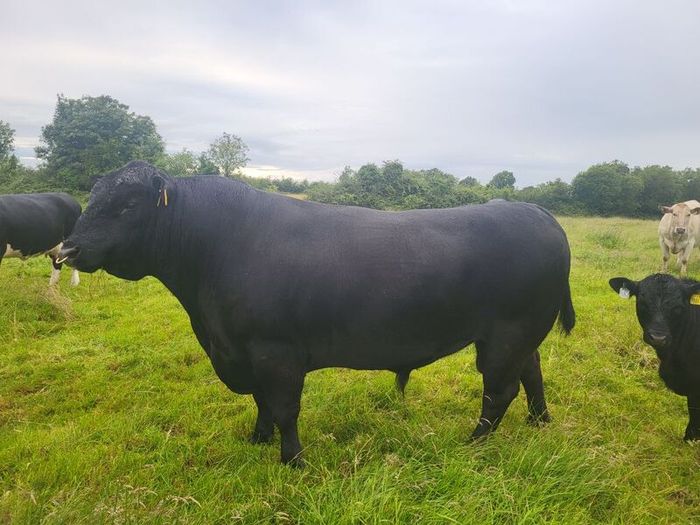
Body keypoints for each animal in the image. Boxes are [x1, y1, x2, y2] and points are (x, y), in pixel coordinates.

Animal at [58, 160, 575, 466]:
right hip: (521, 335)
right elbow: (261, 403)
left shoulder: (276, 351)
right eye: (91, 198)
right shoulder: (243, 350)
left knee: (499, 390)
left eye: (127, 206)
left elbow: (285, 407)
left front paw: (292, 460)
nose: (69, 248)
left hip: (508, 333)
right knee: (532, 372)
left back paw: (474, 443)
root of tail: (537, 211)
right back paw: (540, 422)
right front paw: (258, 440)